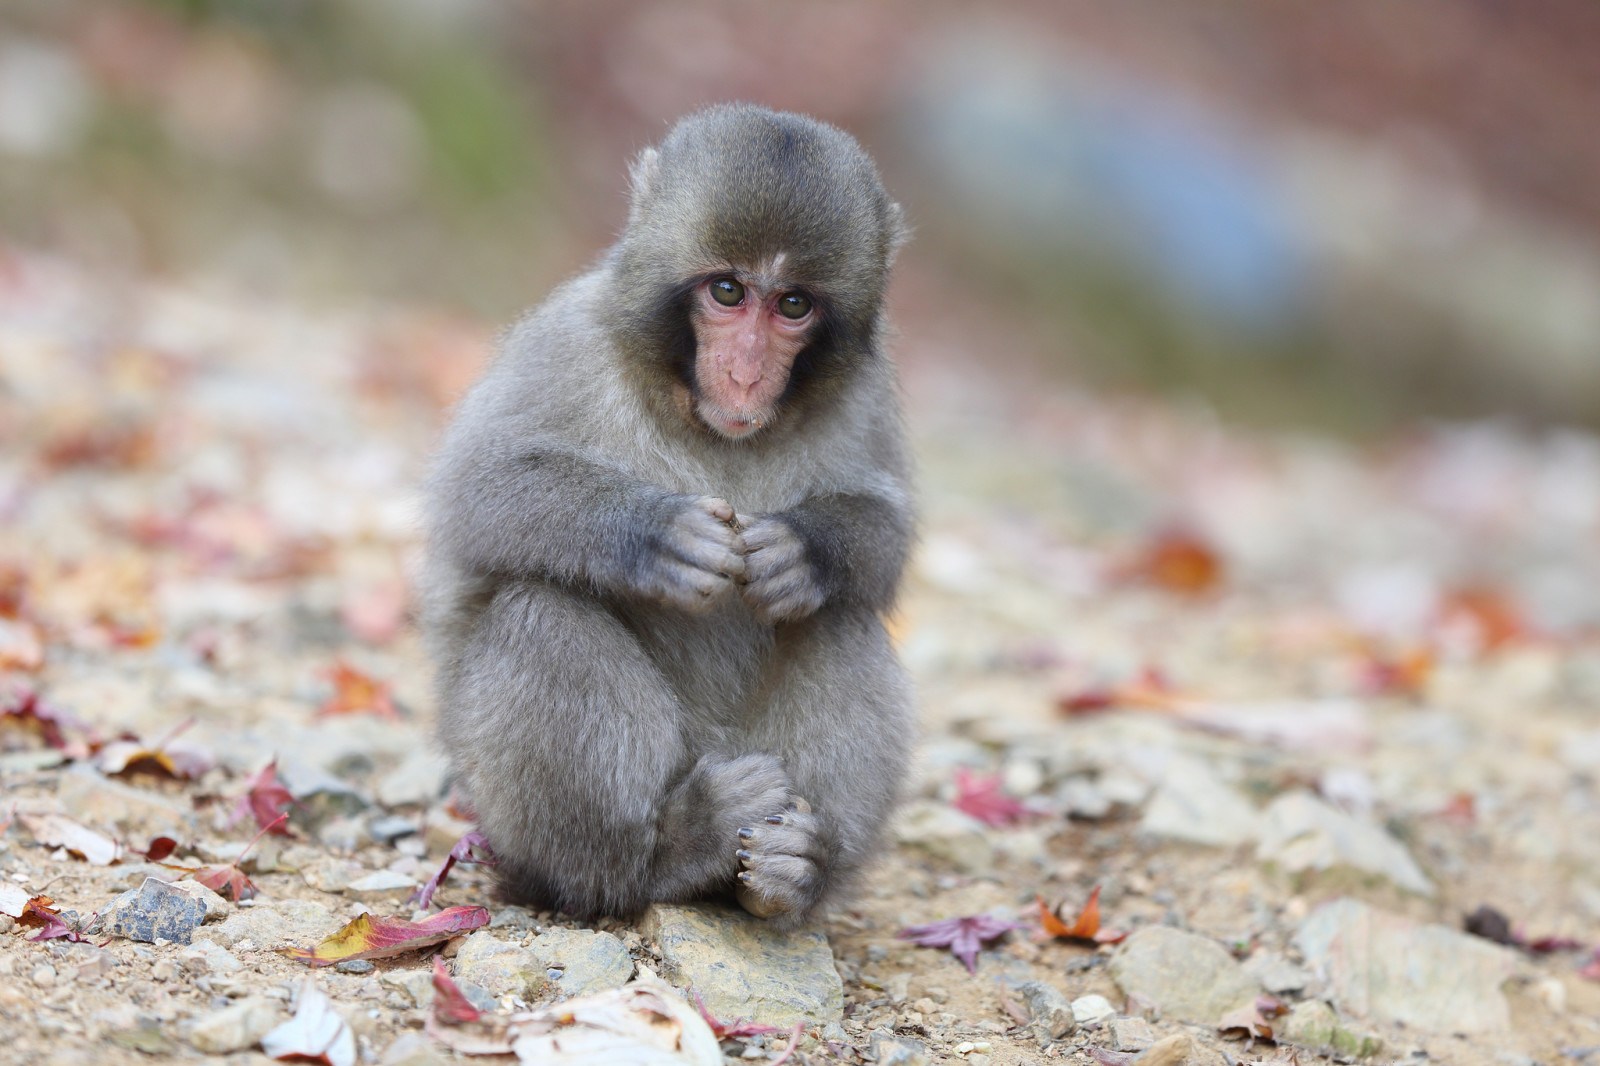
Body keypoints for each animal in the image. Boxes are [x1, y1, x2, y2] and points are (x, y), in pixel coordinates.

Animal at [422, 104, 915, 928]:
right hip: (516, 816)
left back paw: (796, 872)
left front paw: (800, 552)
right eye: (727, 291)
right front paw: (659, 538)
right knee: (540, 610)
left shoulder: (868, 392)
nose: (746, 373)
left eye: (792, 305)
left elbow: (887, 530)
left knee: (841, 620)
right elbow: (477, 488)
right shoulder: (568, 339)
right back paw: (659, 854)